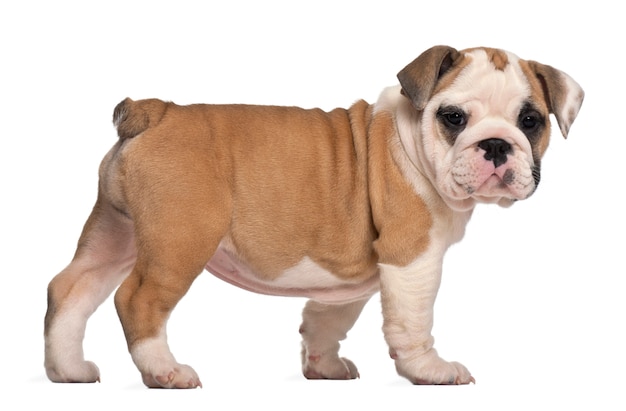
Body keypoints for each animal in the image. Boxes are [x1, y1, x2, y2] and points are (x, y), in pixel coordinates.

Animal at [45, 45, 584, 390]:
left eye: (530, 121)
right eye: (454, 118)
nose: (496, 144)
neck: (412, 139)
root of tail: (155, 111)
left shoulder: (350, 278)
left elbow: (328, 318)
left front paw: (324, 367)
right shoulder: (412, 259)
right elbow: (412, 322)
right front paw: (429, 371)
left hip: (115, 232)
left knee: (71, 288)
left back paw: (68, 370)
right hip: (179, 241)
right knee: (137, 299)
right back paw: (165, 372)